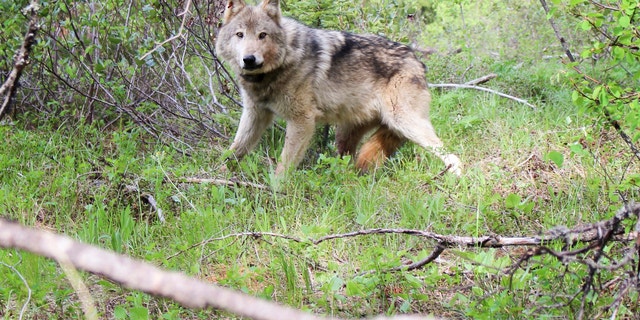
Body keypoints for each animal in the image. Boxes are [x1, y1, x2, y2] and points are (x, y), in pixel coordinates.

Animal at [215, 0, 460, 176]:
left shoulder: (302, 121)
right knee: (348, 163)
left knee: (452, 156)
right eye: (240, 34)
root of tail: (418, 61)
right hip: (346, 136)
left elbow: (283, 166)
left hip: (405, 123)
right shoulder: (255, 114)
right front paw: (216, 176)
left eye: (262, 35)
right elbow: (234, 149)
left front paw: (276, 192)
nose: (249, 59)